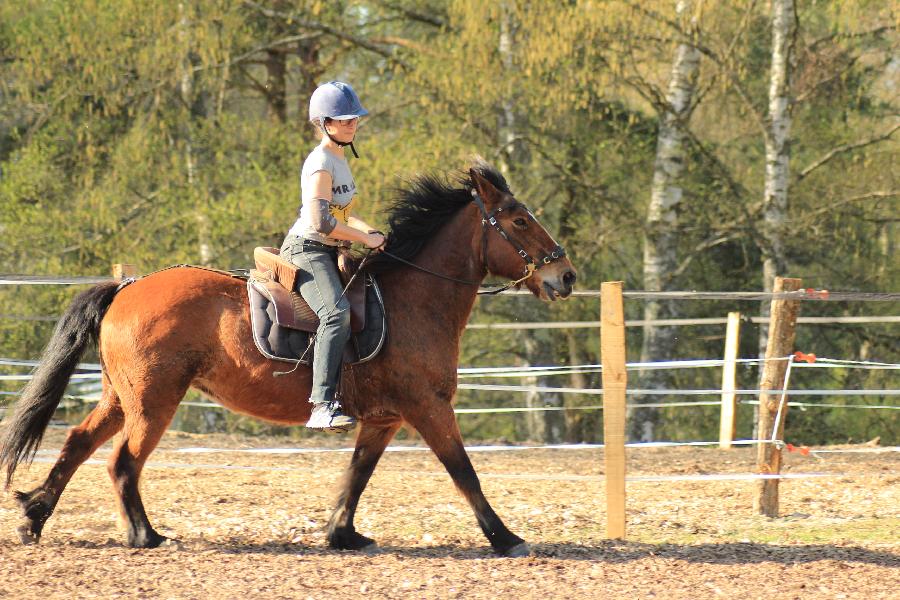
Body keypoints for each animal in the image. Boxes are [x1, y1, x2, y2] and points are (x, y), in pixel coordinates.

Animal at [0, 164, 576, 556]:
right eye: (520, 221)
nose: (565, 275)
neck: (414, 299)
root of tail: (128, 286)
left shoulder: (385, 419)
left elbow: (356, 476)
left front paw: (342, 534)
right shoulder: (429, 408)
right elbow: (464, 472)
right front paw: (505, 537)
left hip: (123, 396)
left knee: (78, 442)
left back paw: (33, 514)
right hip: (153, 401)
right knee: (122, 461)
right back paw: (144, 534)